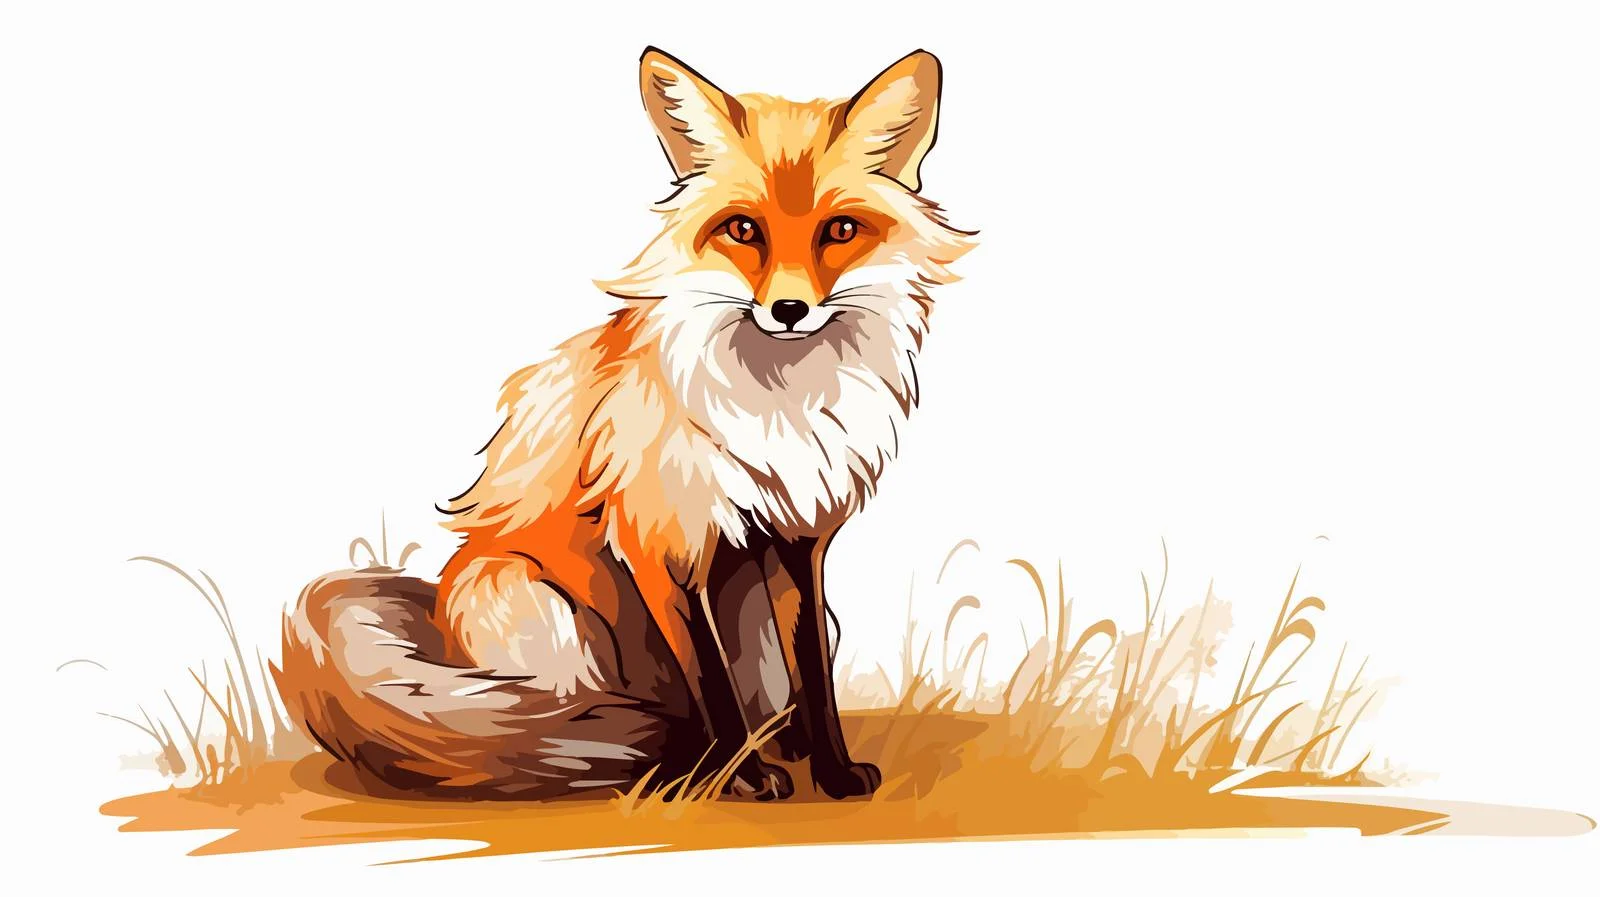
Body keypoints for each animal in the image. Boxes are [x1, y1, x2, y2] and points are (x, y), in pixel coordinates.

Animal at [276, 47, 975, 802]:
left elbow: (812, 674)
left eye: (840, 231)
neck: (777, 409)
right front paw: (741, 778)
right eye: (743, 230)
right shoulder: (663, 543)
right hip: (536, 609)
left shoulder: (799, 539)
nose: (789, 310)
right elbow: (712, 680)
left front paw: (833, 771)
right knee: (561, 723)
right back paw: (663, 758)